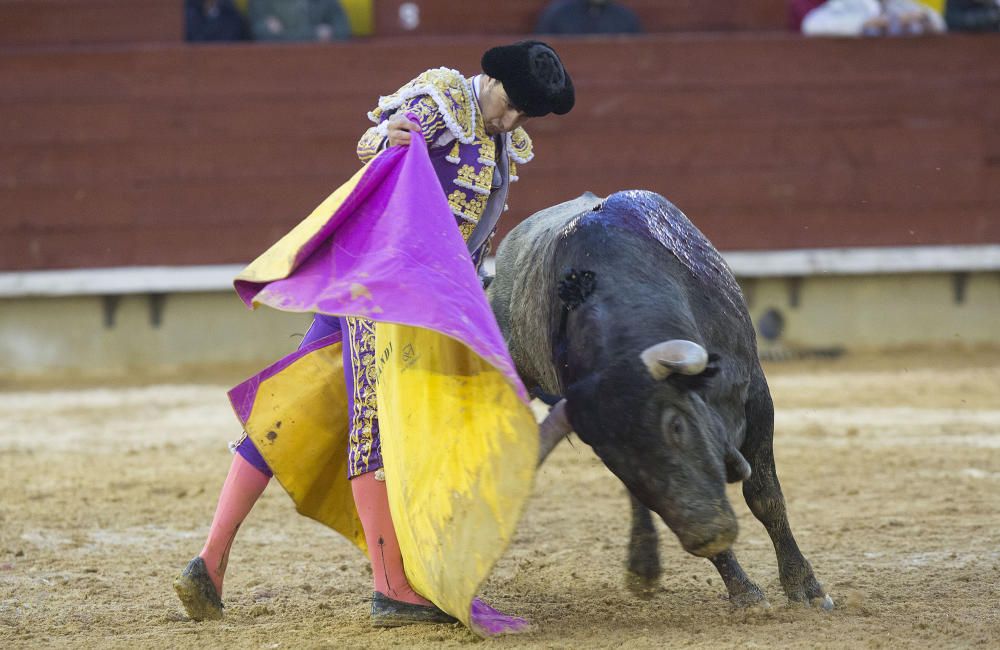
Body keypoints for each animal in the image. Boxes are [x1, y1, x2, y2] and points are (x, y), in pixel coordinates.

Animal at [488, 190, 832, 604]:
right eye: (612, 456)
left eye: (677, 425)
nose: (707, 534)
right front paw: (744, 592)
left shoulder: (758, 397)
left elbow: (765, 496)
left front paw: (805, 587)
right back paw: (644, 564)